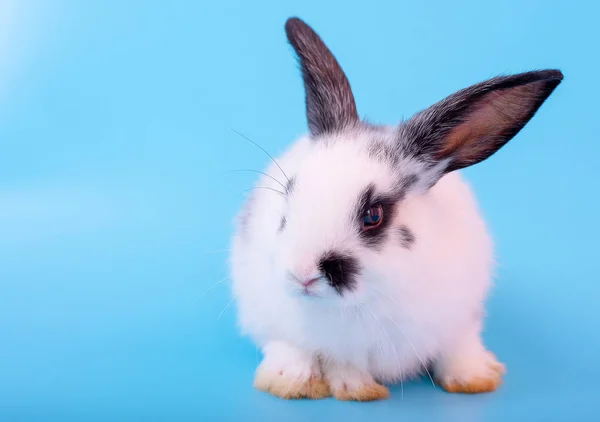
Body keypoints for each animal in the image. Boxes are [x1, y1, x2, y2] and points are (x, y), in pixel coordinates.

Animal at [229, 17, 564, 402]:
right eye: (289, 197)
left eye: (373, 216)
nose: (302, 275)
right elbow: (320, 357)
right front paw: (347, 388)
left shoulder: (462, 317)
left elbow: (459, 347)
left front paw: (475, 378)